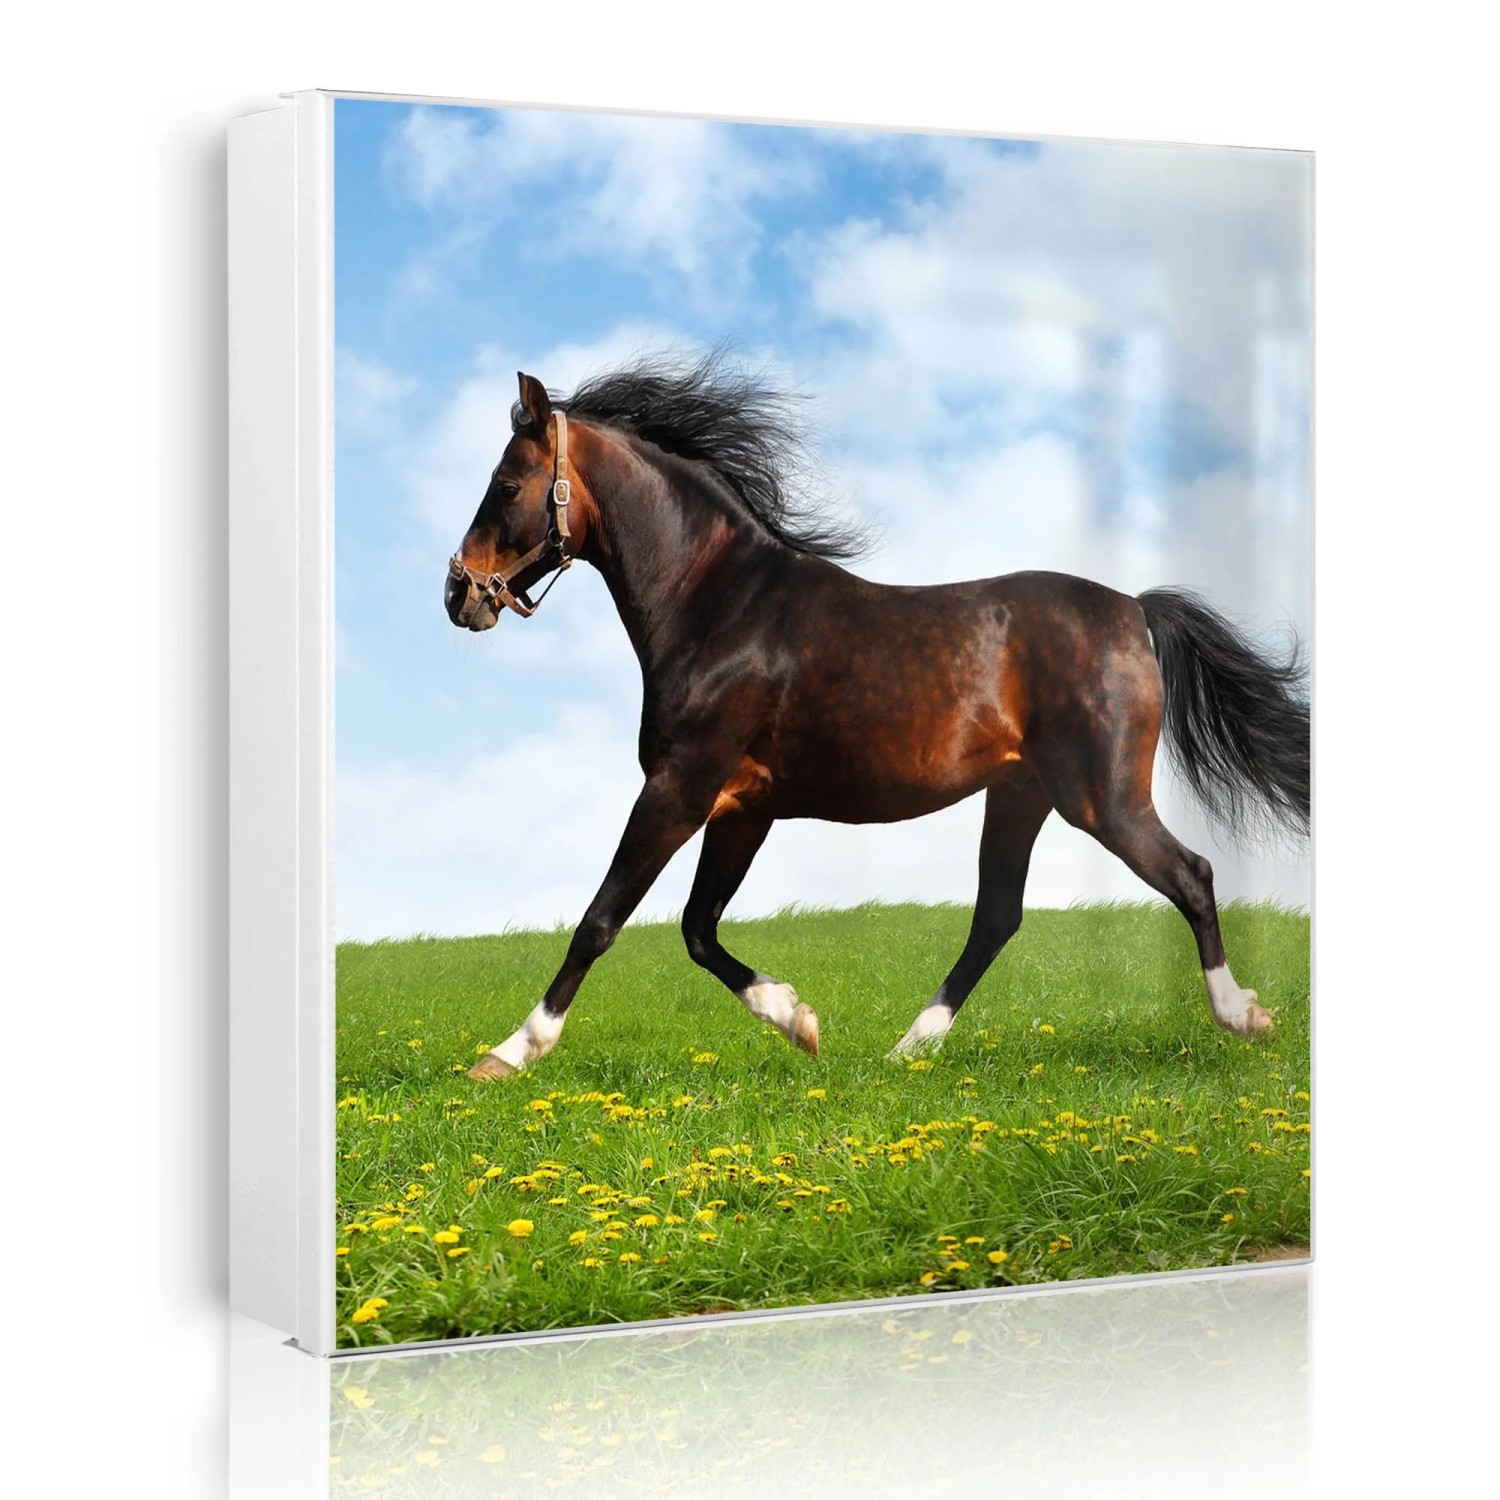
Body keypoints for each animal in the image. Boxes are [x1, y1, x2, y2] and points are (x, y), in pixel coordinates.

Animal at [443, 353, 1310, 1079]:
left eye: (507, 485)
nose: (459, 594)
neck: (721, 604)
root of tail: (1134, 608)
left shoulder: (679, 789)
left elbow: (603, 919)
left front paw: (509, 1054)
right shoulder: (742, 808)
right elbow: (697, 927)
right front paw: (799, 1020)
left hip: (1103, 799)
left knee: (1190, 877)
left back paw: (1243, 1016)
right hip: (1022, 795)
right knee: (997, 917)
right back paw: (907, 1049)